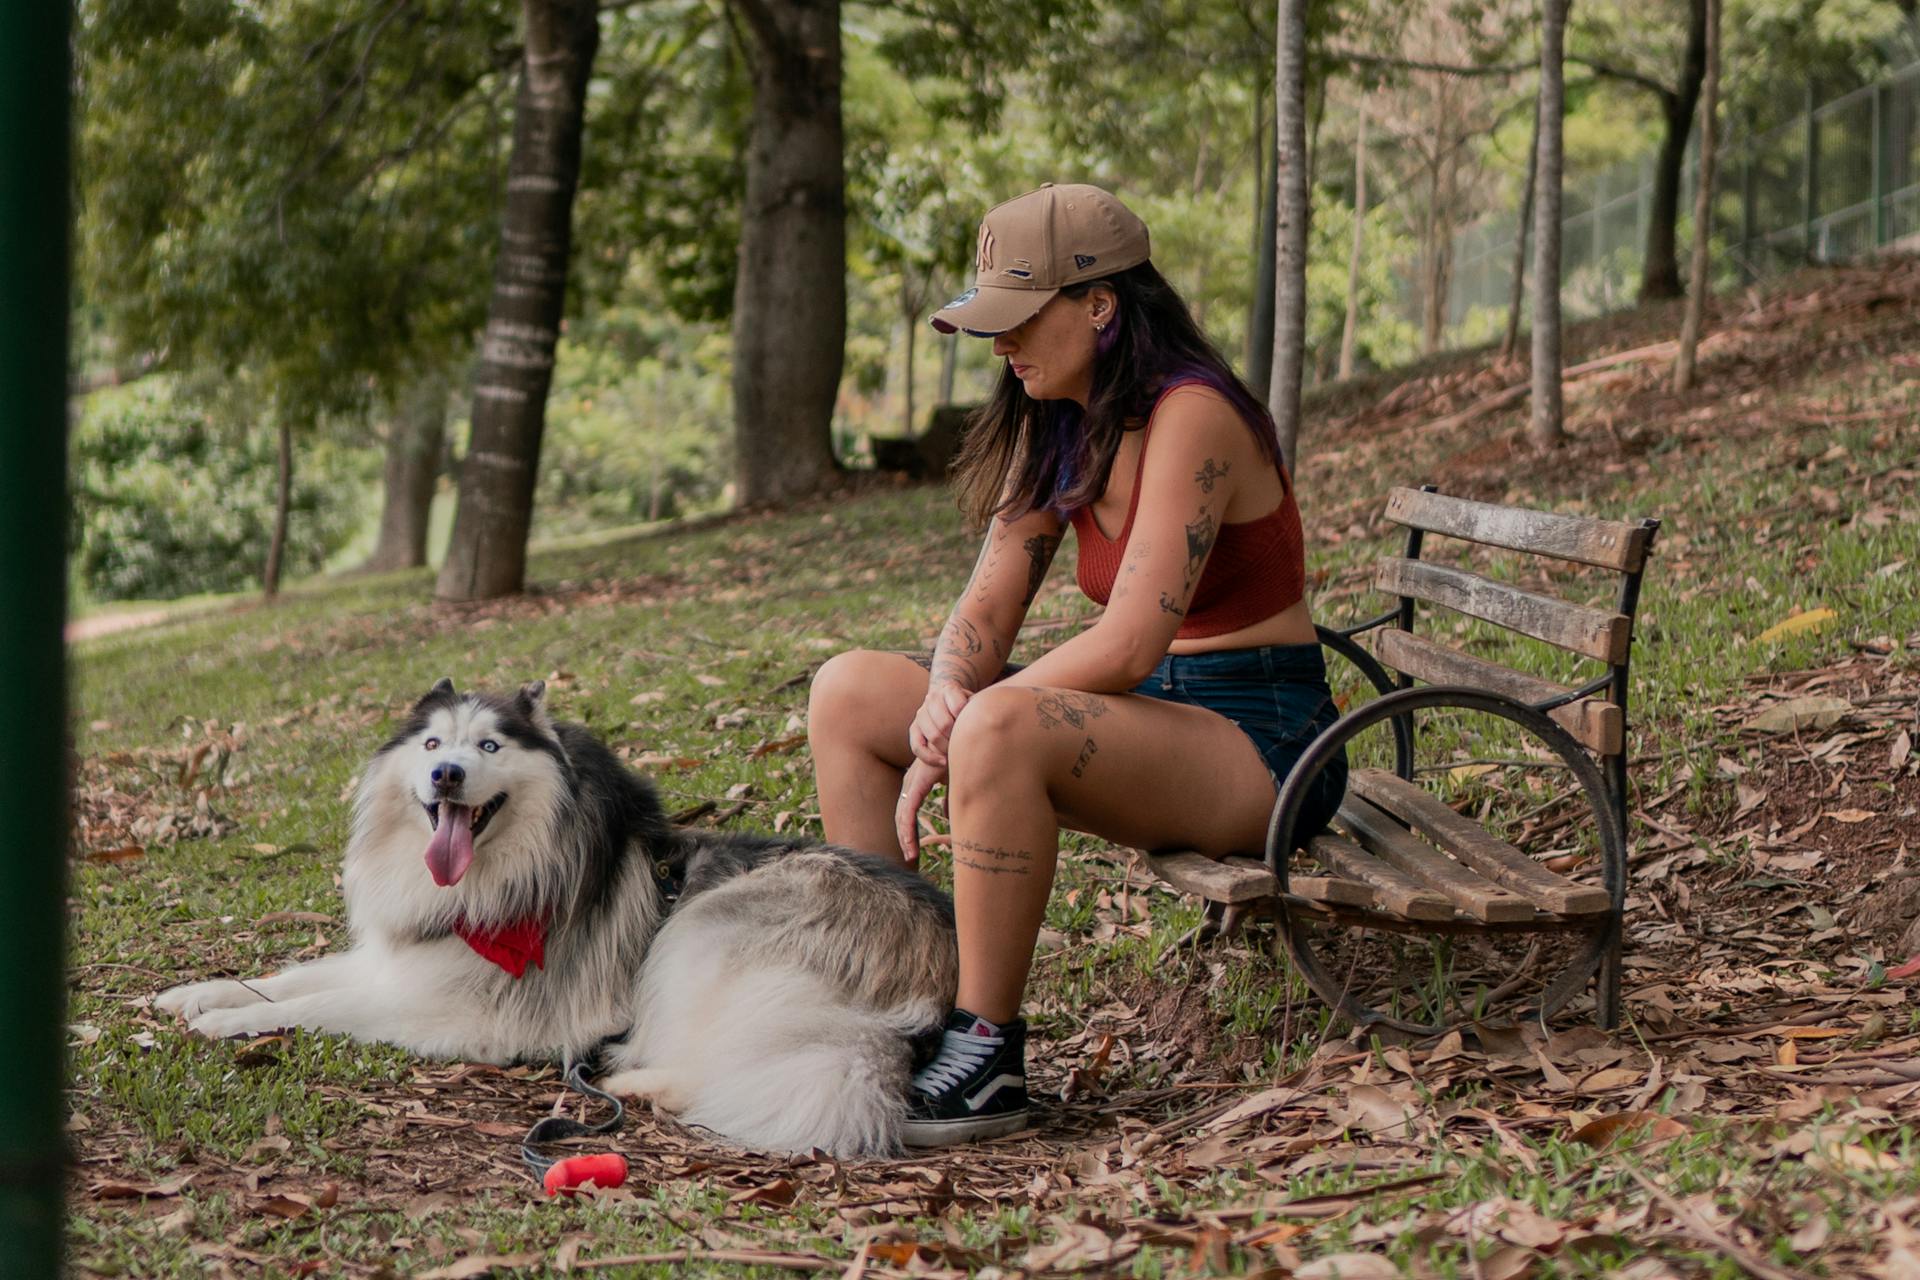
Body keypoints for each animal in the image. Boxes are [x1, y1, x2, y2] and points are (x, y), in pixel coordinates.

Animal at [155, 679, 960, 1159]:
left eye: (488, 746)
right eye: (432, 744)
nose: (446, 774)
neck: (500, 878)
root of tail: (937, 974)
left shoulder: (464, 1013)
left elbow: (318, 1004)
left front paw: (223, 1024)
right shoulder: (399, 960)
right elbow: (289, 977)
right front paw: (191, 994)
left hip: (704, 933)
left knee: (707, 1062)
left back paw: (634, 1083)